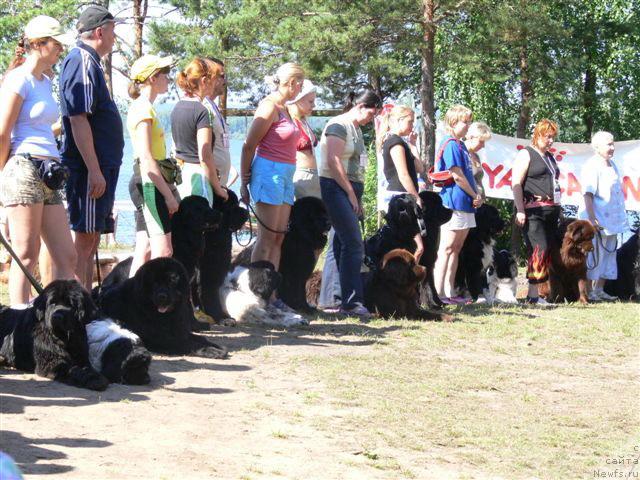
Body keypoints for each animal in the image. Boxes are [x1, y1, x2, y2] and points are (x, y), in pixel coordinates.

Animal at [99, 258, 229, 356]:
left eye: (172, 281)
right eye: (154, 283)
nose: (162, 296)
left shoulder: (179, 330)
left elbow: (201, 338)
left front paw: (215, 345)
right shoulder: (161, 338)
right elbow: (190, 344)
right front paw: (212, 351)